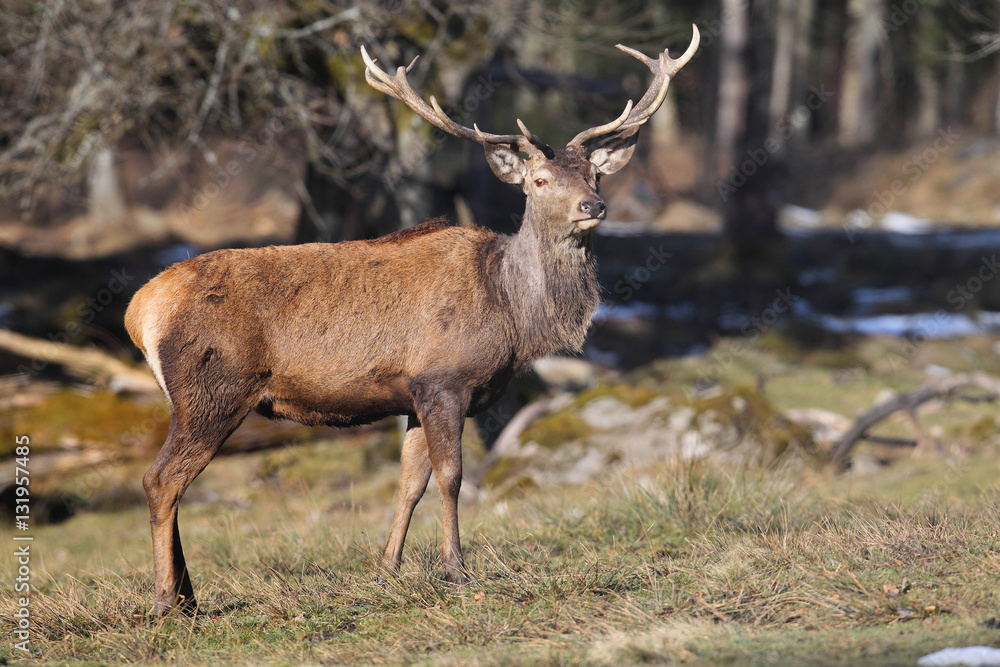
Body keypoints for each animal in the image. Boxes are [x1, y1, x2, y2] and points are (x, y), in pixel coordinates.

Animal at [124, 26, 700, 615]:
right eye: (539, 181)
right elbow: (451, 478)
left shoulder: (411, 394)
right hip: (213, 388)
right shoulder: (444, 380)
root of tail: (140, 308)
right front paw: (456, 571)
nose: (593, 207)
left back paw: (188, 596)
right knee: (160, 480)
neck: (512, 316)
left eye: (593, 175)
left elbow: (409, 483)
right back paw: (167, 600)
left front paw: (387, 571)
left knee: (171, 482)